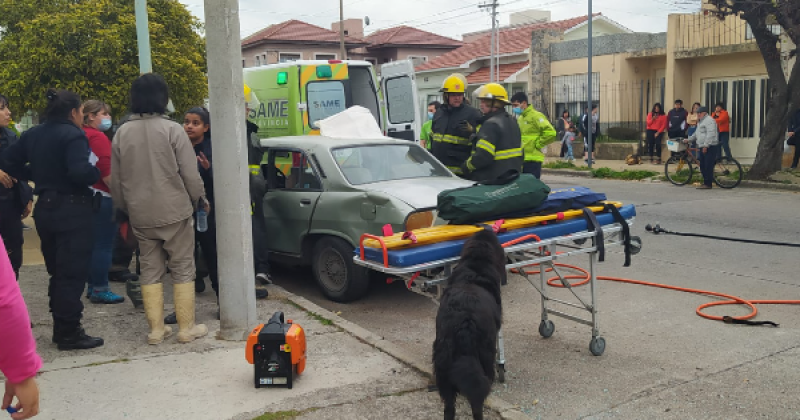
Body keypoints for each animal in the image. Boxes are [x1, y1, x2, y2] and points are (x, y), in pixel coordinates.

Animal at [434, 230, 504, 420]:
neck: (475, 267)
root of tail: (464, 323)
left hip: (442, 363)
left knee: (449, 406)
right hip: (485, 354)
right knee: (478, 398)